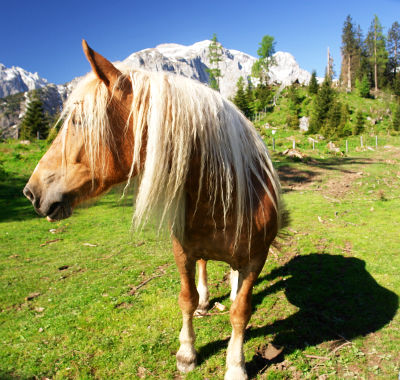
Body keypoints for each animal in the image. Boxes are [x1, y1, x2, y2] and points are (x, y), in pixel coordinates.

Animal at [23, 41, 286, 380]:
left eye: (79, 120)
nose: (32, 191)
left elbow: (241, 312)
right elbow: (186, 299)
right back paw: (206, 300)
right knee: (204, 268)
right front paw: (187, 353)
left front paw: (236, 365)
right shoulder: (182, 251)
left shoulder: (256, 259)